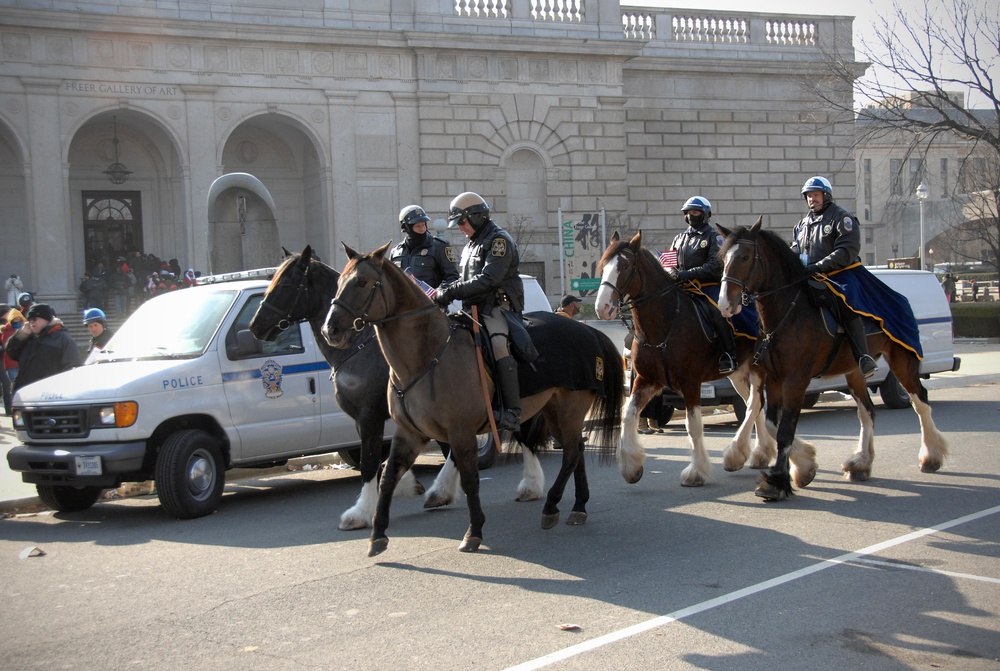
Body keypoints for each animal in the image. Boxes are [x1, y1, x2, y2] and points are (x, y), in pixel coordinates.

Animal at [324, 242, 624, 556]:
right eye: (339, 281)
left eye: (361, 282)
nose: (330, 329)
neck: (426, 357)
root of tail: (588, 329)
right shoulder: (408, 433)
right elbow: (387, 477)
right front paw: (378, 534)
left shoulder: (461, 432)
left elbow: (470, 480)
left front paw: (474, 531)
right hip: (554, 411)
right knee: (575, 449)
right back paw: (578, 506)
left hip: (569, 410)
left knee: (571, 453)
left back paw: (551, 505)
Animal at [592, 232, 780, 488]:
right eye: (603, 266)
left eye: (624, 266)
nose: (602, 307)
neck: (664, 326)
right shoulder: (647, 380)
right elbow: (628, 415)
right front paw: (632, 466)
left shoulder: (690, 383)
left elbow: (694, 425)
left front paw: (696, 471)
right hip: (738, 373)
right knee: (755, 402)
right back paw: (760, 453)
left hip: (756, 368)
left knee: (753, 403)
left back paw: (737, 454)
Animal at [720, 218, 944, 502]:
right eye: (723, 257)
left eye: (746, 256)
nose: (725, 304)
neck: (786, 313)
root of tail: (901, 298)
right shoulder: (774, 378)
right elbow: (772, 424)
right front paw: (801, 467)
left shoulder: (796, 380)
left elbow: (785, 429)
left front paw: (778, 481)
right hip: (854, 371)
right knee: (867, 412)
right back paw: (861, 463)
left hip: (902, 360)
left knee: (920, 402)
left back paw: (931, 456)